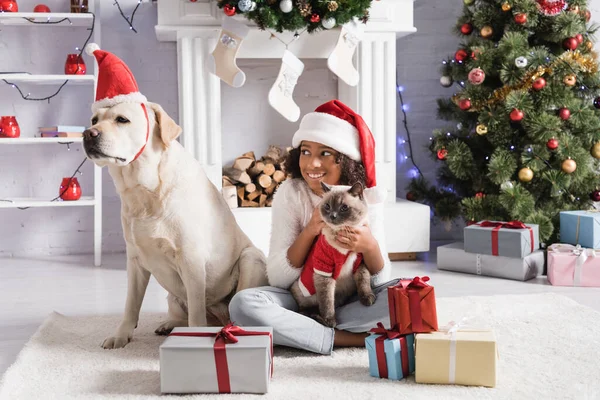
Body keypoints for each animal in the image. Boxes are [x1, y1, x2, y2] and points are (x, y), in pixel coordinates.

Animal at [82, 101, 268, 348]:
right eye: (94, 120)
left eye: (122, 119)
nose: (88, 134)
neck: (144, 191)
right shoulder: (135, 260)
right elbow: (131, 304)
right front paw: (120, 336)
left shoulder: (191, 259)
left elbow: (196, 314)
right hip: (173, 296)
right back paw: (169, 324)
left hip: (250, 257)